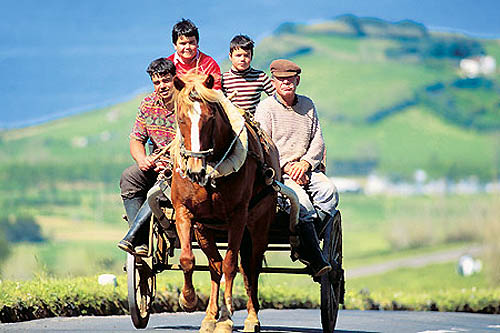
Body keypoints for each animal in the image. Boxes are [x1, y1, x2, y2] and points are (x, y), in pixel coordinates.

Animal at [171, 71, 282, 330]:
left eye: (210, 118)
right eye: (181, 119)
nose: (195, 170)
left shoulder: (238, 217)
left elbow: (231, 265)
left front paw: (226, 317)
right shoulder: (186, 213)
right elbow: (190, 259)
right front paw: (189, 300)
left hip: (258, 225)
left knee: (251, 268)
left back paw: (251, 317)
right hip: (208, 229)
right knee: (216, 265)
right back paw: (210, 316)